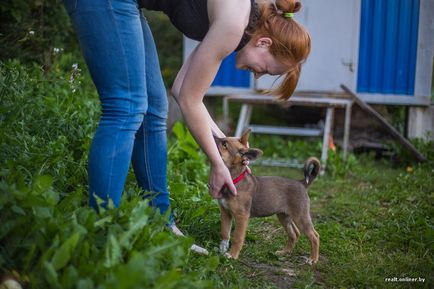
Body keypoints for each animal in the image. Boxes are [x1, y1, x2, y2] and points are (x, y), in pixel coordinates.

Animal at [215, 129, 320, 264]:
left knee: (314, 236)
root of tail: (302, 183)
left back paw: (313, 259)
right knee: (294, 233)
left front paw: (233, 255)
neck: (234, 180)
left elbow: (237, 237)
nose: (212, 136)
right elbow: (224, 232)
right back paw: (285, 252)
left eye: (224, 144)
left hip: (301, 216)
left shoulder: (242, 217)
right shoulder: (225, 212)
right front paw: (222, 250)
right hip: (283, 215)